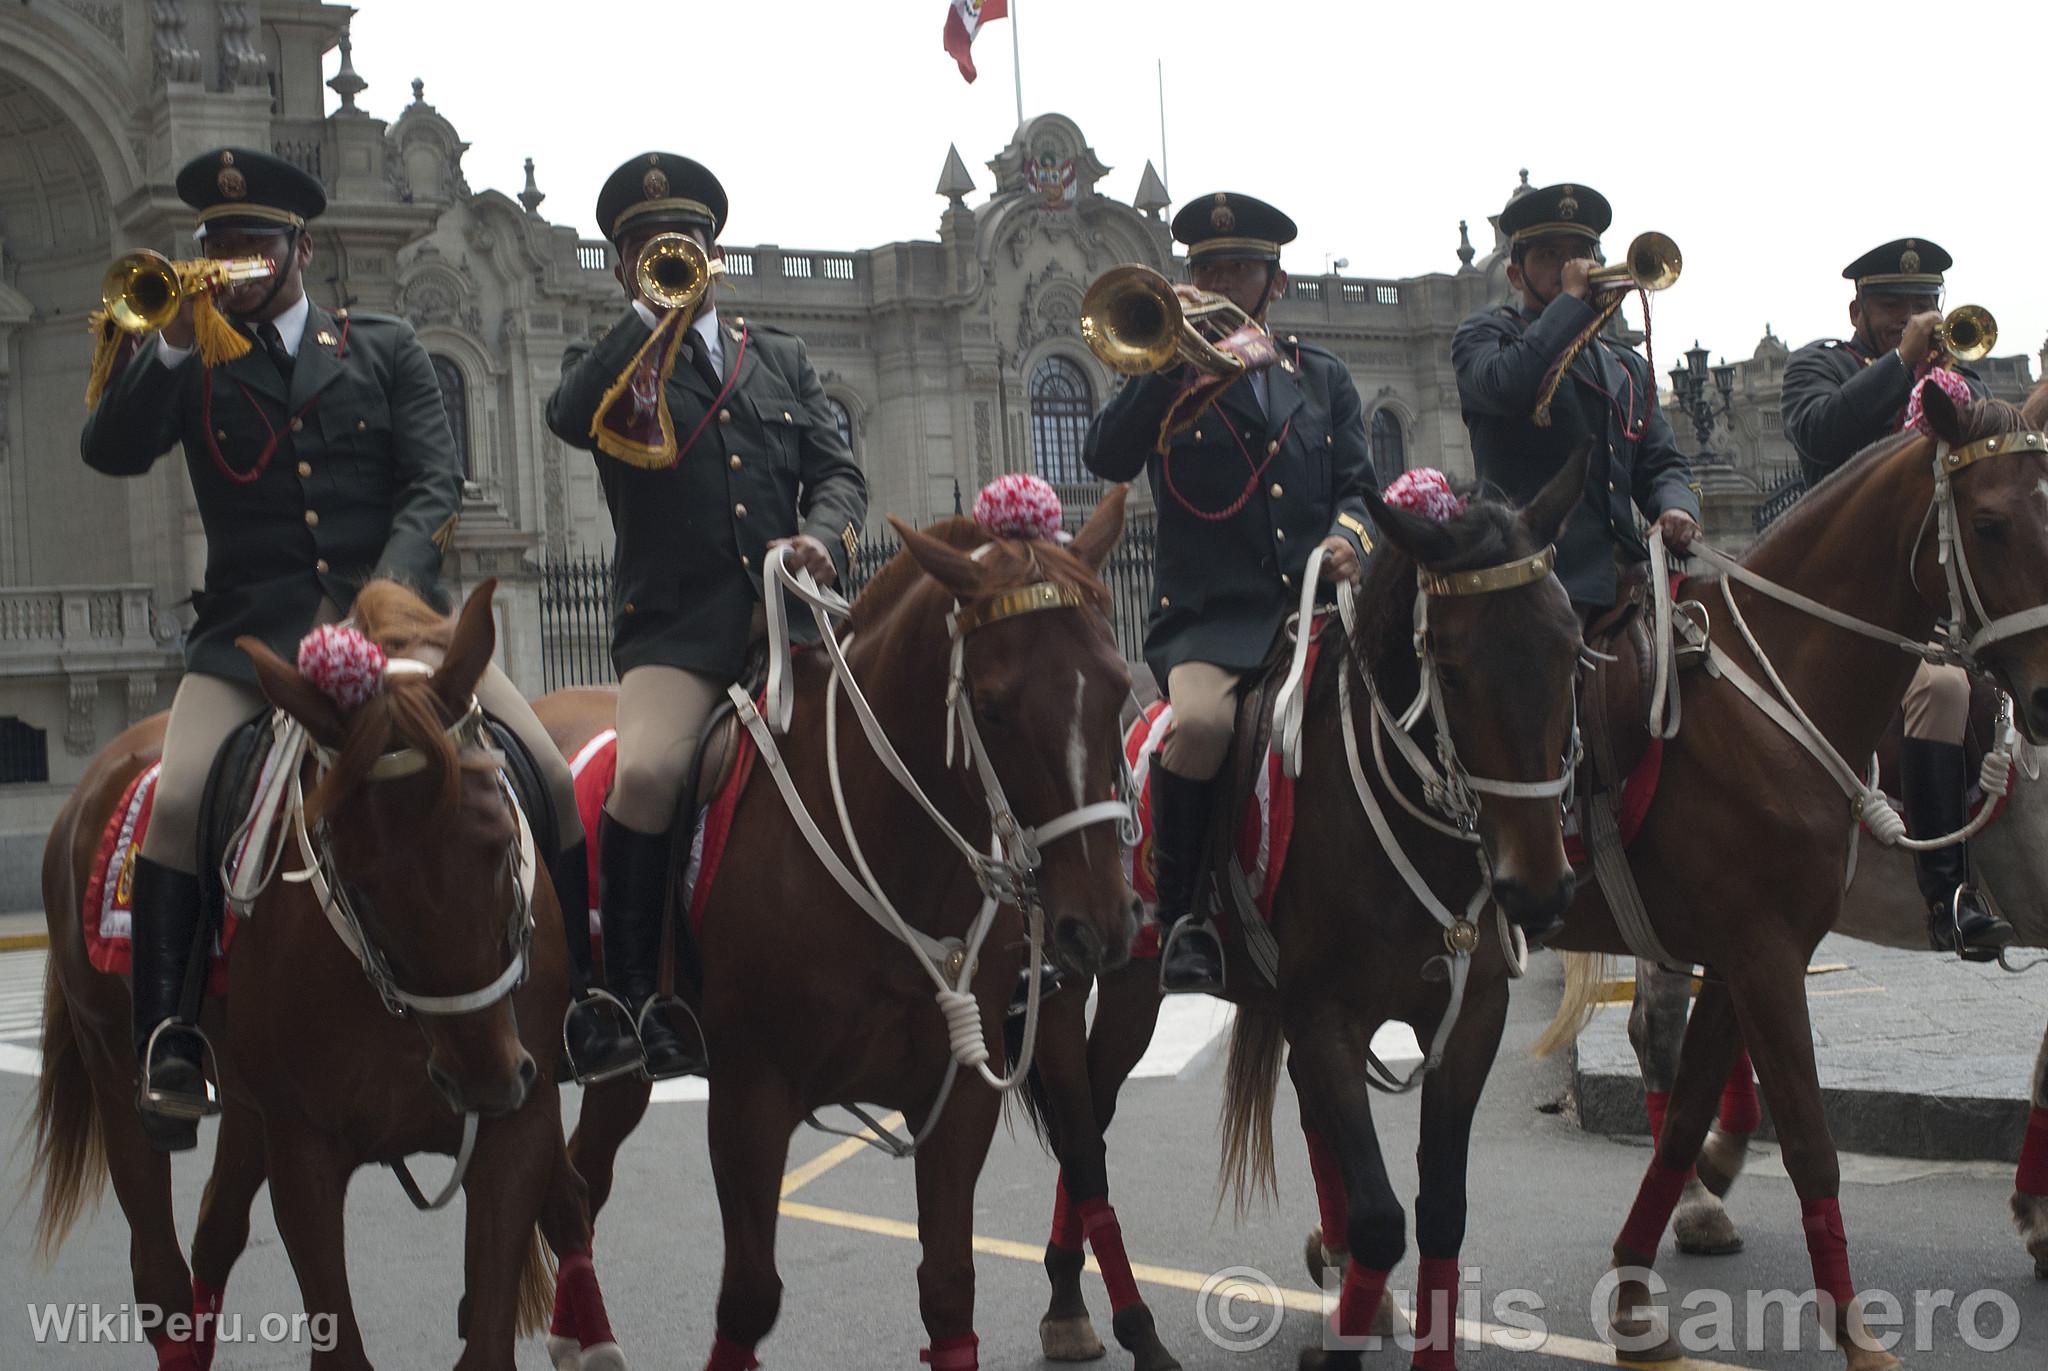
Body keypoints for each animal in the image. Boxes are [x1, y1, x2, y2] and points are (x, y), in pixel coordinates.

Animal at [22, 582, 614, 1368]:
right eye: (359, 879)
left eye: (496, 844)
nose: (485, 1075)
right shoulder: (303, 1150)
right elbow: (339, 1343)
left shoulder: (519, 1124)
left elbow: (492, 1326)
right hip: (120, 1075)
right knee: (160, 1271)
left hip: (249, 1105)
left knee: (215, 1231)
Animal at [536, 497, 1138, 1360]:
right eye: (992, 706)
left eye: (1119, 687)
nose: (1103, 924)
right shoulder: (749, 1099)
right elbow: (748, 1299)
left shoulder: (960, 1095)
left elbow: (949, 1289)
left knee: (584, 1175)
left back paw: (577, 1334)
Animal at [1015, 457, 1589, 1368]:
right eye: (1451, 665)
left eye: (1571, 647)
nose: (1539, 889)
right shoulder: (1326, 1016)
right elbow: (1385, 1214)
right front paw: (1347, 1320)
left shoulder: (1468, 1019)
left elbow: (1440, 1211)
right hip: (1093, 984)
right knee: (1086, 1121)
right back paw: (1071, 1301)